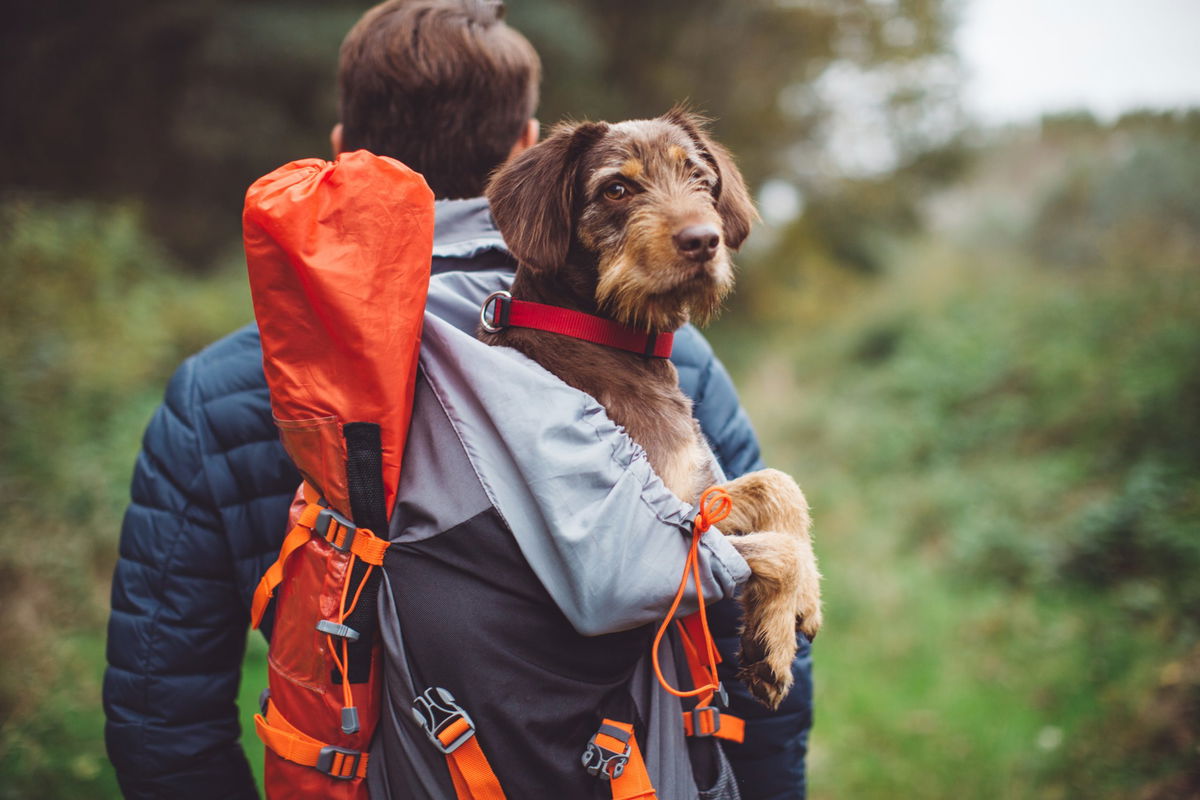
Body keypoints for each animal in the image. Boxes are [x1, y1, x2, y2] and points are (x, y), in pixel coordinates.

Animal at [482, 107, 820, 714]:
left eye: (700, 179)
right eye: (617, 189)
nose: (704, 240)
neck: (605, 335)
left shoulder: (697, 494)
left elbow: (779, 484)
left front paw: (806, 597)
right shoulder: (664, 533)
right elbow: (778, 549)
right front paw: (773, 643)